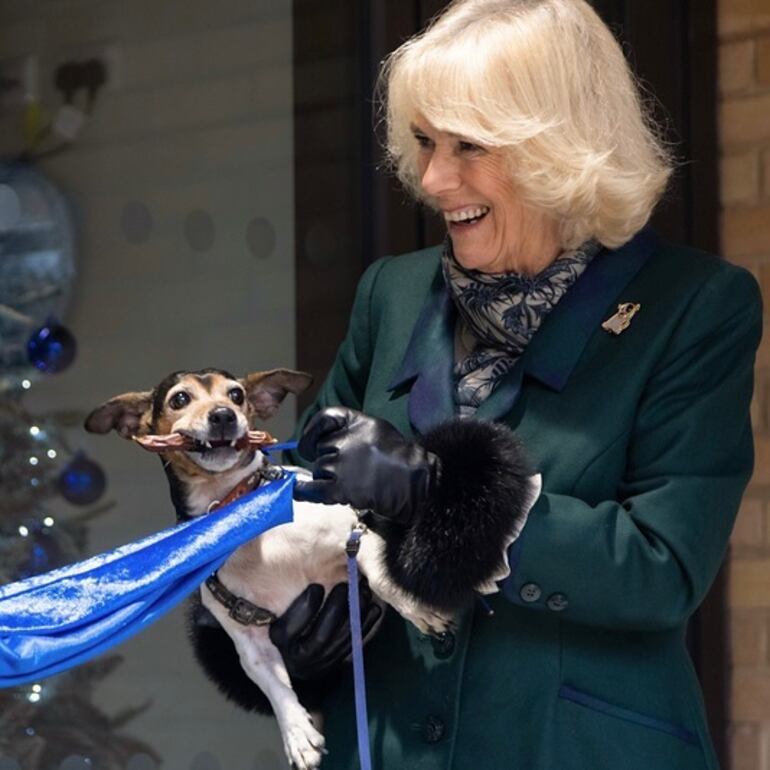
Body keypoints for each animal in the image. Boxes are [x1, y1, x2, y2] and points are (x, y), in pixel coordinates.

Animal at [85, 368, 468, 768]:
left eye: (236, 395)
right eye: (180, 399)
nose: (223, 415)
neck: (243, 512)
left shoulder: (353, 531)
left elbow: (381, 578)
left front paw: (417, 606)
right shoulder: (251, 642)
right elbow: (275, 687)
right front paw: (296, 733)